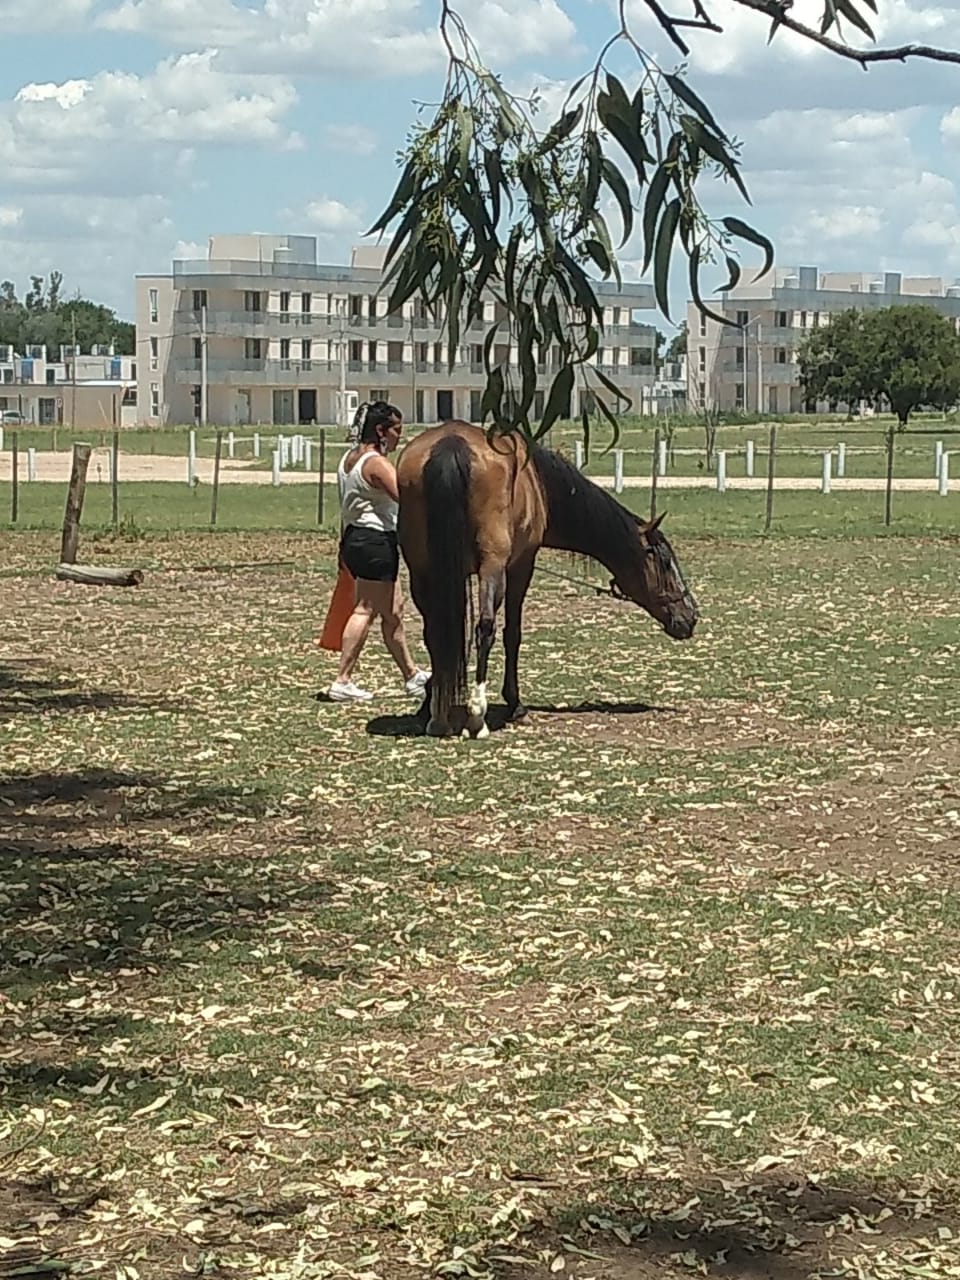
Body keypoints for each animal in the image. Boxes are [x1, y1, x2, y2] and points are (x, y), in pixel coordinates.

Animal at [396, 420, 699, 739]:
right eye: (665, 562)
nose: (690, 616)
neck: (537, 481)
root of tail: (452, 444)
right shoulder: (520, 567)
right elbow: (511, 634)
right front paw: (515, 705)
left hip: (422, 572)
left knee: (435, 632)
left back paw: (438, 717)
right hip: (492, 568)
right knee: (485, 629)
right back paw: (477, 716)